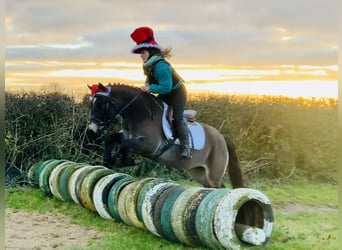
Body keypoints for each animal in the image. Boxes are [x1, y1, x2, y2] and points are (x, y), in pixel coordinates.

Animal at [87, 83, 244, 188]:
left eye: (101, 104)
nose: (91, 131)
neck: (140, 114)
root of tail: (222, 137)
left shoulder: (149, 146)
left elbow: (126, 145)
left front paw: (125, 162)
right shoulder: (127, 136)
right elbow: (111, 139)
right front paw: (108, 161)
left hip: (213, 174)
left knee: (220, 188)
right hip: (199, 172)